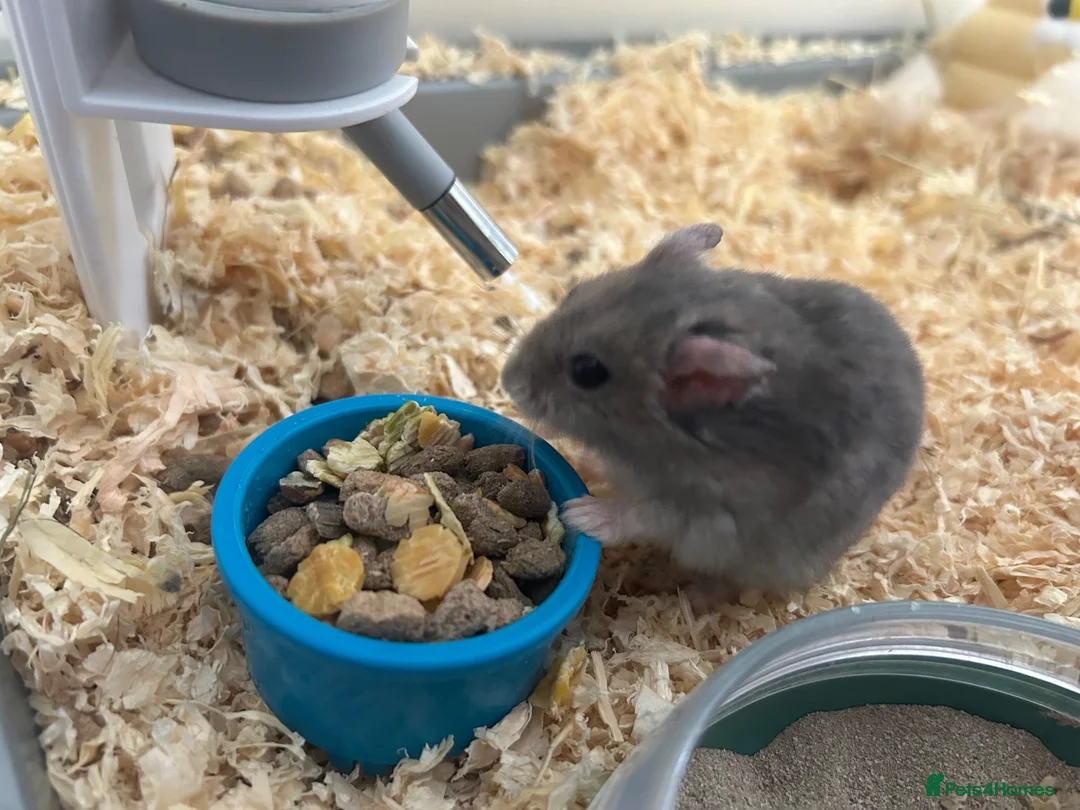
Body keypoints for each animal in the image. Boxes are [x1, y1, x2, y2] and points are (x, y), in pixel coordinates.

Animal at [499, 223, 925, 603]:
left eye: (588, 371)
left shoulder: (707, 515)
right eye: (575, 291)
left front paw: (579, 514)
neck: (644, 444)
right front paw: (583, 462)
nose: (508, 381)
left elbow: (641, 514)